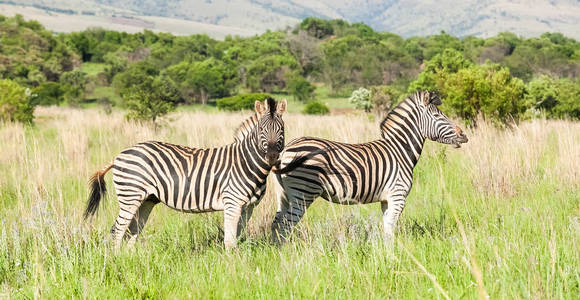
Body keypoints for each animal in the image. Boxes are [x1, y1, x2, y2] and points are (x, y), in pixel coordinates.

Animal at [83, 98, 288, 248]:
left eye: (281, 130)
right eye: (261, 130)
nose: (271, 157)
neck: (247, 163)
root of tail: (119, 155)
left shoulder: (248, 207)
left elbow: (236, 237)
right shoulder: (232, 203)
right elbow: (230, 241)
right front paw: (233, 268)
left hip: (146, 199)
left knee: (132, 231)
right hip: (130, 196)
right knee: (117, 231)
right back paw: (116, 261)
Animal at [270, 90, 466, 243]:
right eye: (438, 116)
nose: (463, 135)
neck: (400, 150)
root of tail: (286, 149)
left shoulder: (386, 200)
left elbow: (386, 230)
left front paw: (386, 255)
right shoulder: (398, 196)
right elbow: (390, 230)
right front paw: (393, 257)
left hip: (284, 194)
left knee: (276, 223)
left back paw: (275, 255)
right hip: (303, 192)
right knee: (286, 226)